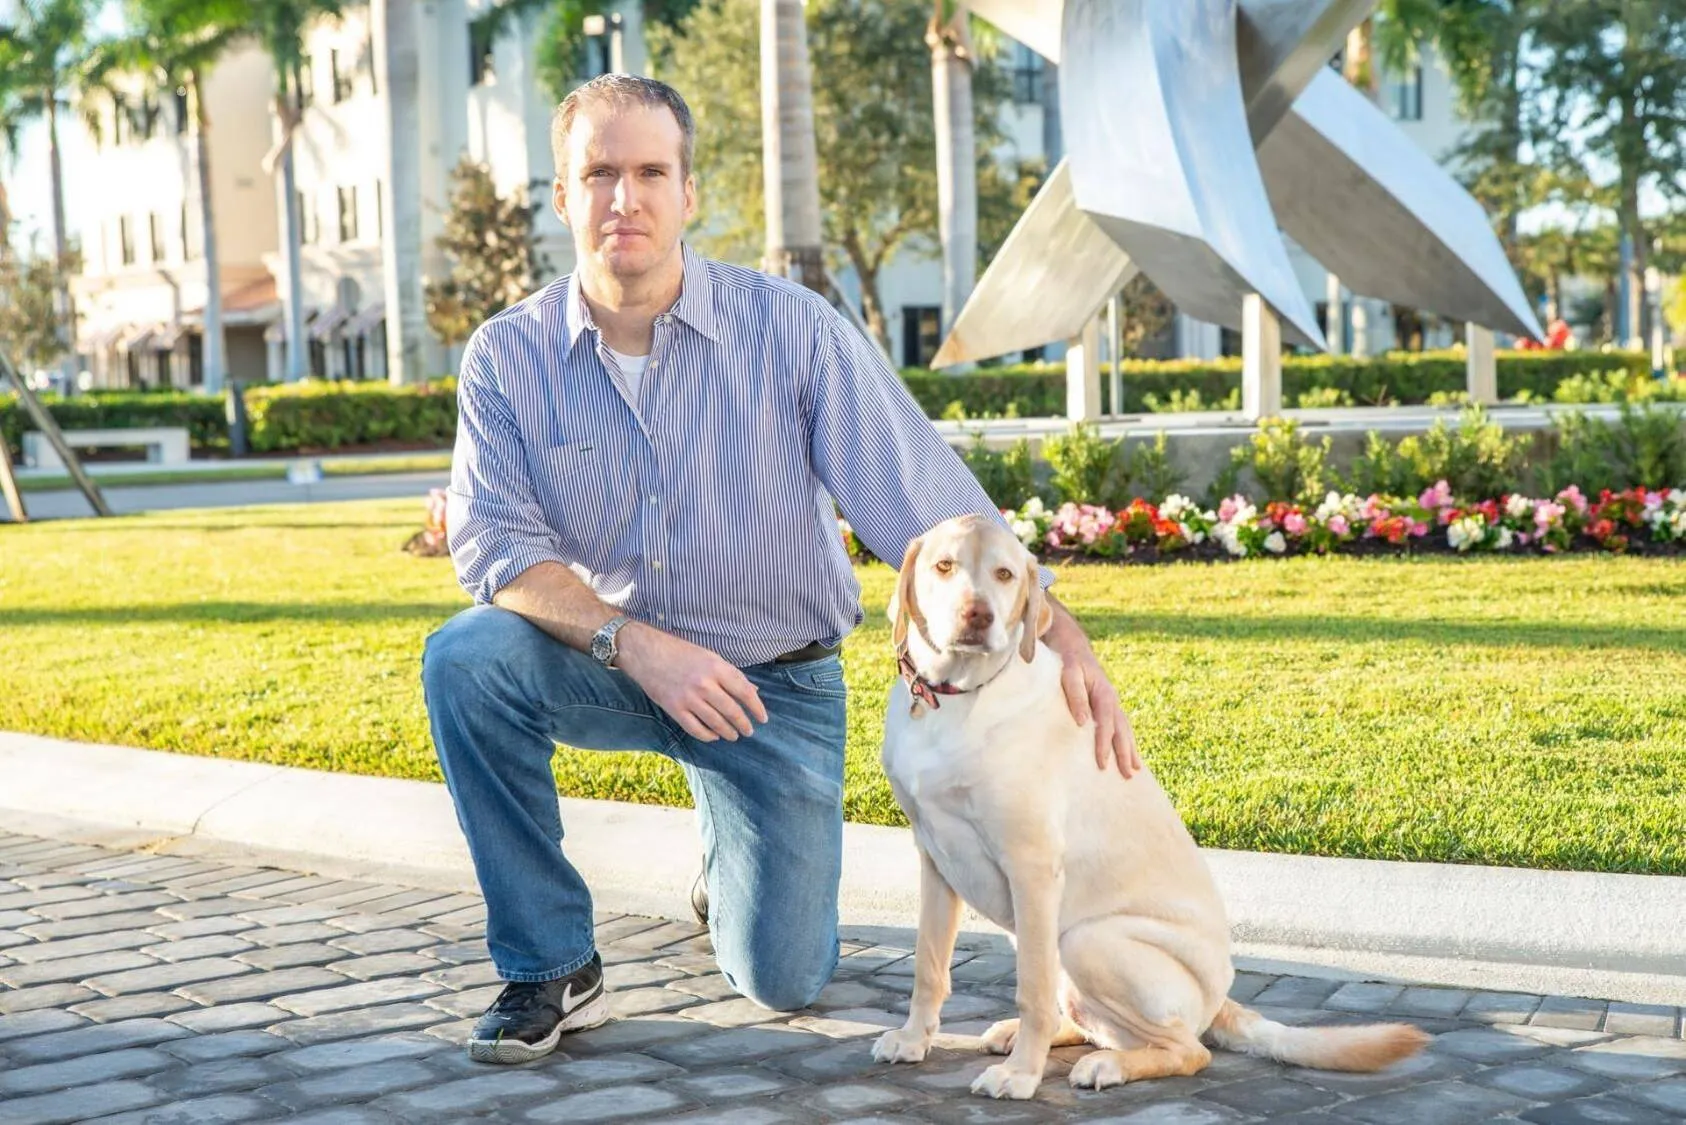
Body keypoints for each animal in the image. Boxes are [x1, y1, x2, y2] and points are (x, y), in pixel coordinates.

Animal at [869, 516, 1422, 1099]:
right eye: (944, 566)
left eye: (1004, 574)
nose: (978, 616)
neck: (956, 700)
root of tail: (1219, 1002)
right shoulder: (935, 858)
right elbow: (929, 965)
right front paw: (913, 1040)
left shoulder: (1032, 867)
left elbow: (1031, 988)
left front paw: (1022, 1075)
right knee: (1092, 1022)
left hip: (1084, 938)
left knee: (1187, 1049)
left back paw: (1104, 1066)